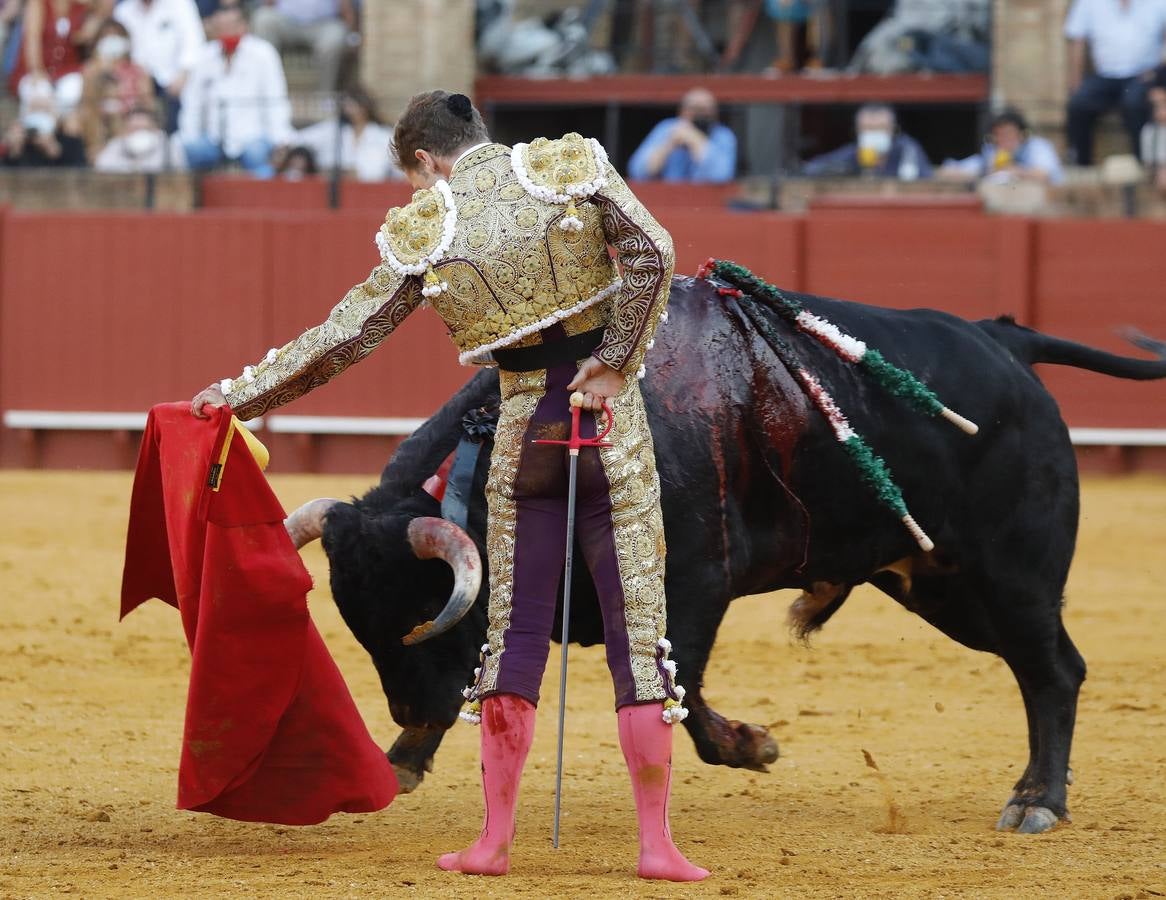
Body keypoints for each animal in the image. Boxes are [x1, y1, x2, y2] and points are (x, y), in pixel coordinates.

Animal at [317, 270, 1166, 834]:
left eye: (425, 615)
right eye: (364, 631)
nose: (414, 713)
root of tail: (1001, 337)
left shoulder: (692, 582)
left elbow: (678, 685)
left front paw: (753, 745)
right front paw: (400, 759)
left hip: (1012, 577)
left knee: (1051, 671)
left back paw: (1036, 802)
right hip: (941, 587)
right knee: (1049, 667)